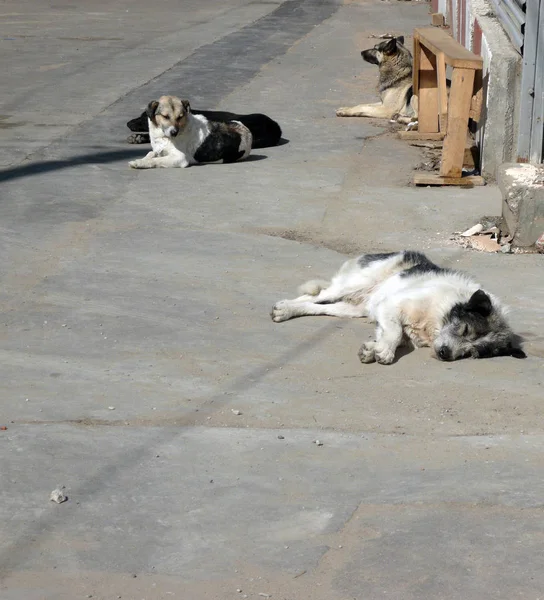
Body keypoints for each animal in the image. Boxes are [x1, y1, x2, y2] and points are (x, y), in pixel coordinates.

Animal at [272, 250, 528, 364]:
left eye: (472, 353)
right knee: (318, 295)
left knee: (321, 306)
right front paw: (384, 352)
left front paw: (373, 349)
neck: (435, 320)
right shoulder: (391, 306)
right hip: (355, 284)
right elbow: (394, 333)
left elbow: (391, 335)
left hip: (355, 308)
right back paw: (285, 308)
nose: (445, 355)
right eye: (465, 330)